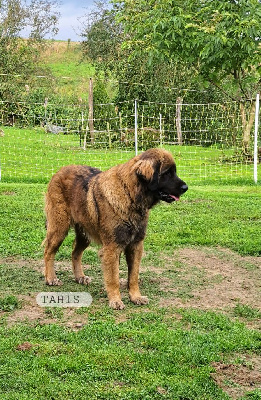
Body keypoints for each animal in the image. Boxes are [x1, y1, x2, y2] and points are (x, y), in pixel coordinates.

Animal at [42, 148, 187, 308]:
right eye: (167, 173)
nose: (185, 188)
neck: (129, 194)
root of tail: (59, 171)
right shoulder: (112, 248)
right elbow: (114, 278)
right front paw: (116, 300)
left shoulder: (136, 246)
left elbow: (133, 276)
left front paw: (136, 297)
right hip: (59, 228)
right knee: (49, 252)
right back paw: (50, 278)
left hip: (85, 233)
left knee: (75, 252)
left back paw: (80, 277)